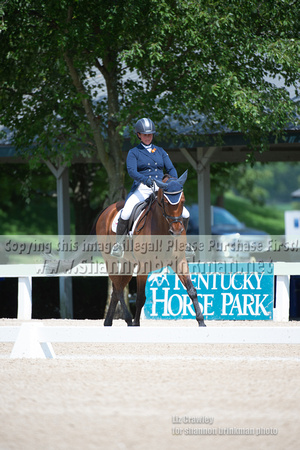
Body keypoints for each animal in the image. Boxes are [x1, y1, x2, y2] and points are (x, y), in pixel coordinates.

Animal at [95, 172, 205, 326]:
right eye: (165, 202)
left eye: (183, 201)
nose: (177, 231)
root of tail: (107, 210)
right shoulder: (143, 266)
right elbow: (140, 297)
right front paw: (136, 324)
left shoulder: (179, 261)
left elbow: (192, 290)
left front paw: (201, 322)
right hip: (109, 259)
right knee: (118, 287)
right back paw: (128, 319)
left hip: (128, 262)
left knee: (118, 288)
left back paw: (109, 322)